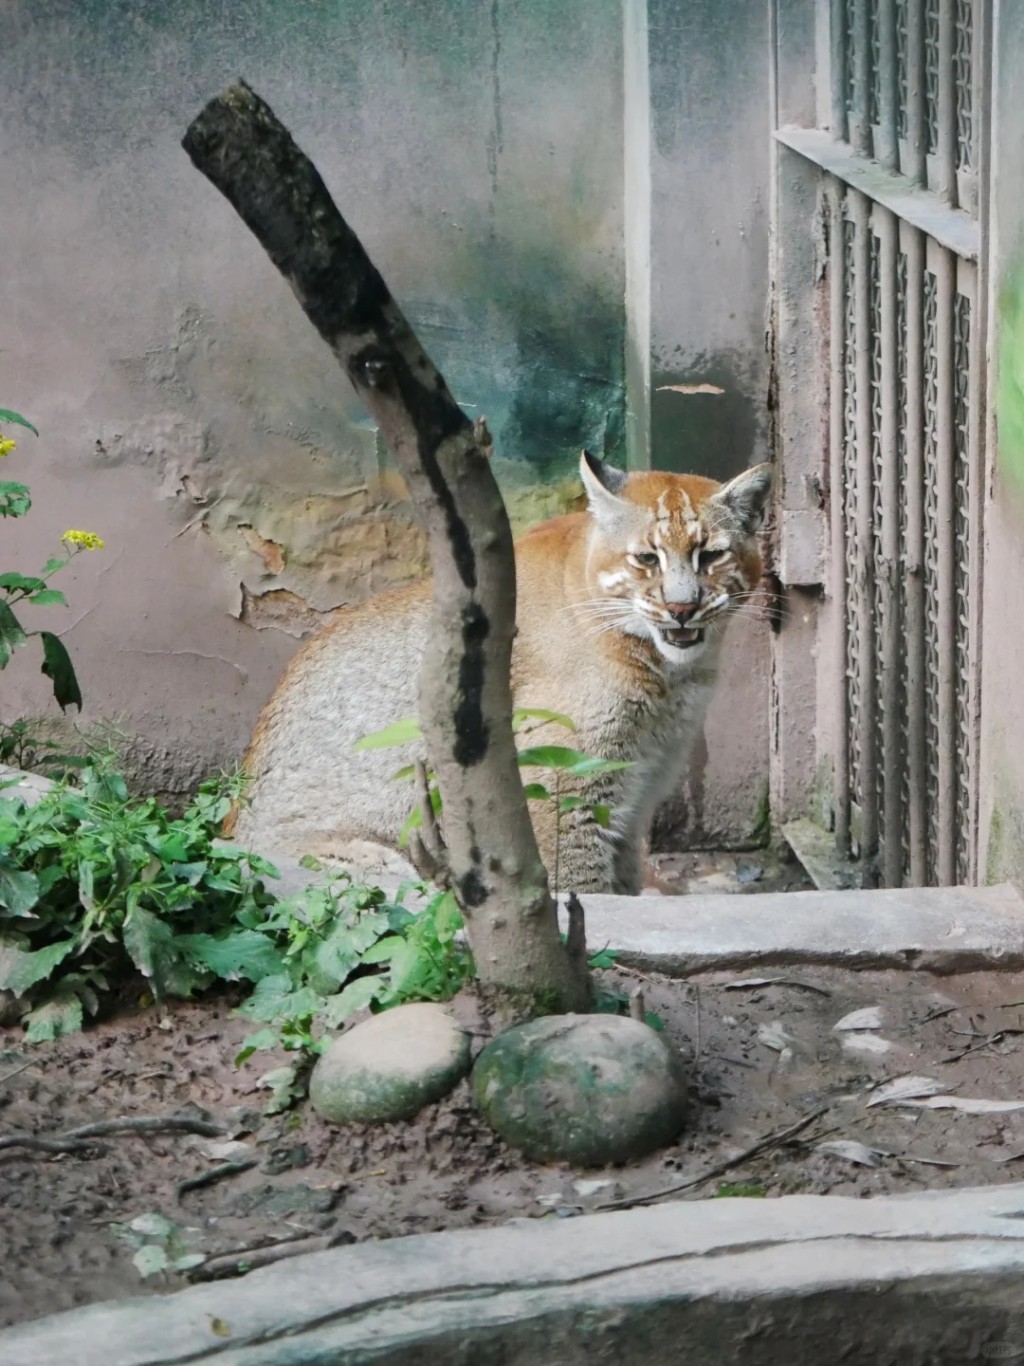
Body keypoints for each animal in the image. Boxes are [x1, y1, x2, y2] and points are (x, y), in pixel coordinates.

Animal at [228, 450, 775, 896]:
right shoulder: (562, 778)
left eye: (712, 555)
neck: (670, 675)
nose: (682, 608)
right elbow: (579, 884)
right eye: (646, 558)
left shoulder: (638, 787)